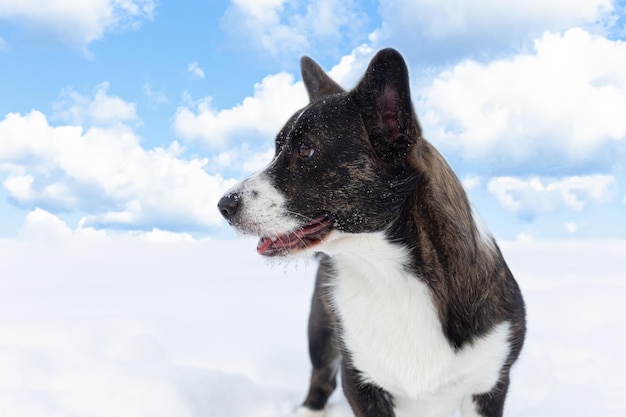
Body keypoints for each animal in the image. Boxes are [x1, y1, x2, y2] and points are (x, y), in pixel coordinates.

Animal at [217, 48, 524, 416]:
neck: (390, 274)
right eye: (277, 149)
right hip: (321, 330)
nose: (223, 205)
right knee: (320, 377)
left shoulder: (489, 384)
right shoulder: (360, 381)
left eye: (305, 150)